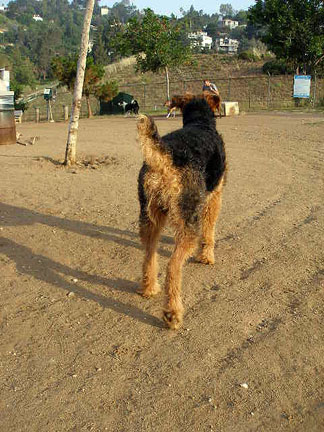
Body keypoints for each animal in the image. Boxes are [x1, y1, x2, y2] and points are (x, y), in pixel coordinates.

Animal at [136, 98, 225, 330]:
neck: (200, 121)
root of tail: (163, 160)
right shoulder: (214, 195)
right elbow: (209, 230)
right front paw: (207, 257)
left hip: (150, 216)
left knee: (149, 255)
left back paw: (149, 288)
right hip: (187, 224)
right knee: (172, 266)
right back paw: (172, 312)